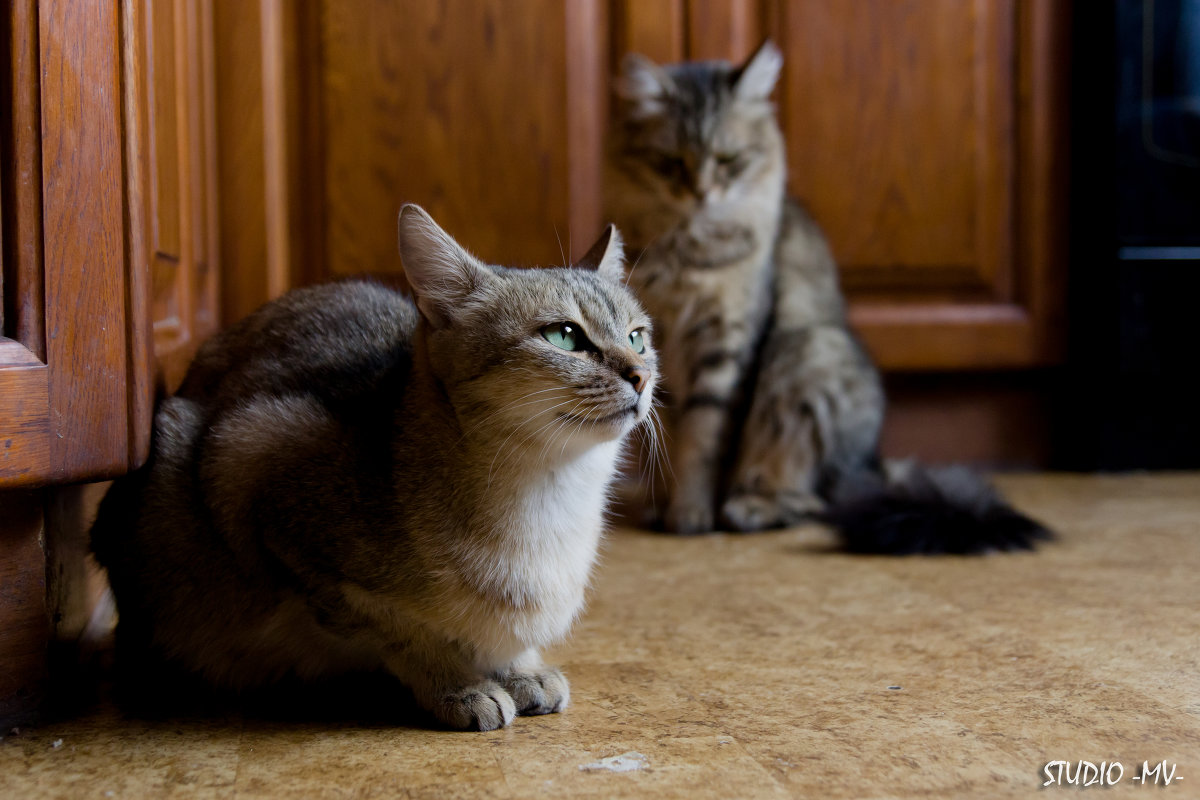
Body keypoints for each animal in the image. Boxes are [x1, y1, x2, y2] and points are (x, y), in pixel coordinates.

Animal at [92, 206, 657, 734]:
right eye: (563, 335)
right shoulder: (249, 469)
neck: (553, 502)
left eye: (637, 337)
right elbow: (402, 633)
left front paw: (520, 668)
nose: (641, 375)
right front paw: (457, 684)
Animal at [604, 38, 1046, 551]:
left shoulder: (724, 345)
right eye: (671, 163)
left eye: (729, 161)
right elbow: (670, 438)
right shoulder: (658, 351)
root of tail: (872, 464)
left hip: (808, 355)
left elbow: (702, 439)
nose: (701, 193)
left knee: (813, 501)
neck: (686, 250)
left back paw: (748, 508)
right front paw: (665, 506)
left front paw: (691, 514)